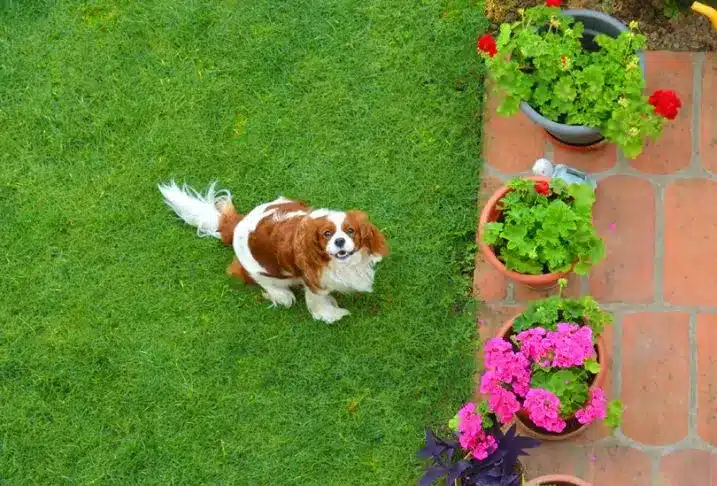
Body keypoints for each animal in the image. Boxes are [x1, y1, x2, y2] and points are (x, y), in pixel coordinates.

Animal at [159, 181, 388, 322]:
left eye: (350, 231)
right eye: (327, 234)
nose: (340, 241)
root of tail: (236, 225)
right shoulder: (312, 281)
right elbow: (317, 301)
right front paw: (330, 314)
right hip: (257, 272)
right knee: (276, 291)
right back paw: (280, 294)